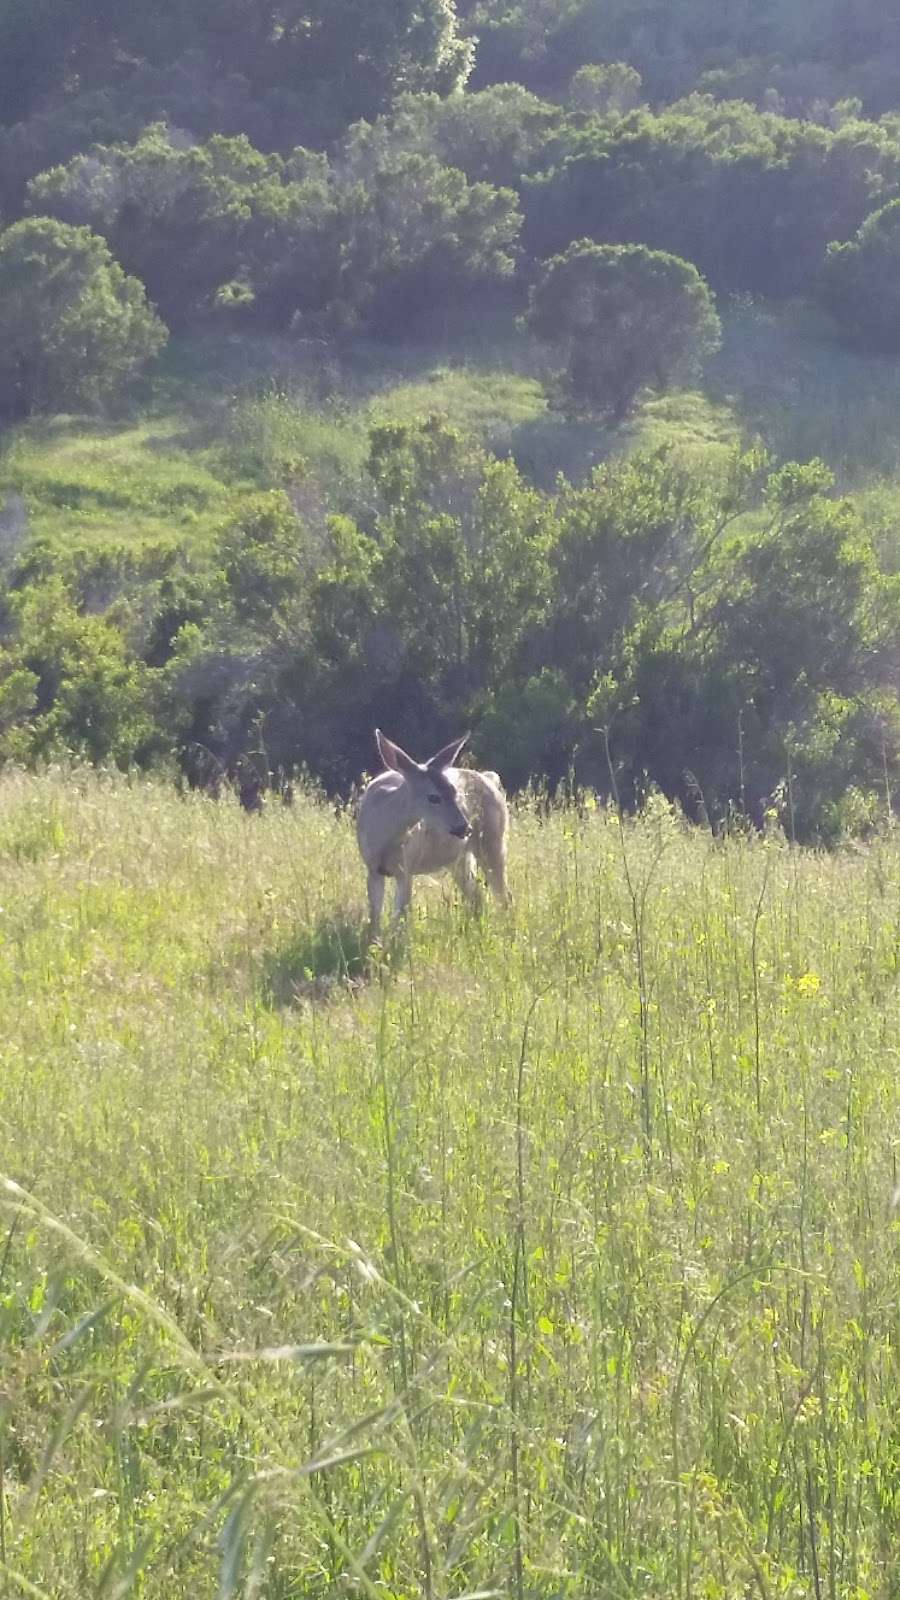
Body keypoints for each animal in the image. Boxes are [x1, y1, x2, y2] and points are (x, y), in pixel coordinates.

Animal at [355, 732, 509, 934]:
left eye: (454, 792)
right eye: (433, 797)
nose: (465, 827)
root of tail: (490, 778)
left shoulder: (407, 867)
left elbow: (401, 916)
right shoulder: (372, 868)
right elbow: (375, 917)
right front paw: (375, 941)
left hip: (493, 841)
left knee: (504, 896)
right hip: (459, 859)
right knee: (477, 896)